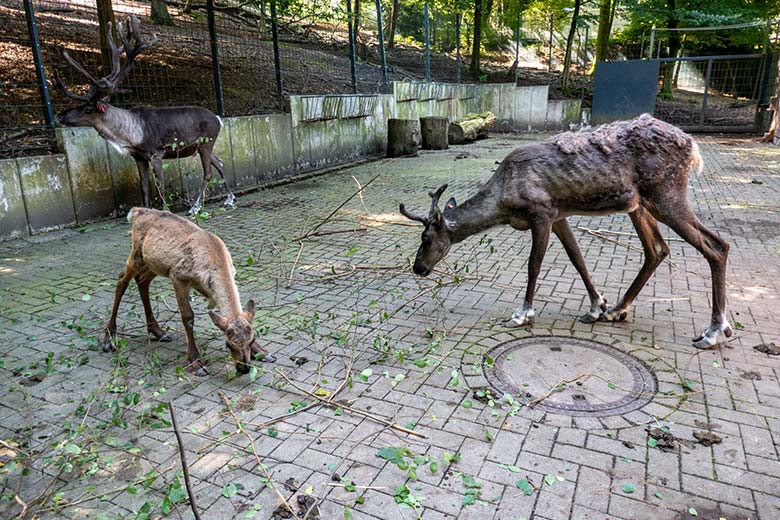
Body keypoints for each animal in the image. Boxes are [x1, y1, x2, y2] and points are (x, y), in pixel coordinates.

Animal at [102, 206, 276, 374]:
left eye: (252, 340)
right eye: (228, 345)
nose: (244, 368)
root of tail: (136, 212)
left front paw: (263, 352)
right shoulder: (178, 276)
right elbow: (187, 316)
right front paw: (196, 361)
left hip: (155, 263)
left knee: (142, 280)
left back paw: (158, 331)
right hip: (137, 255)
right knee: (122, 280)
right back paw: (109, 338)